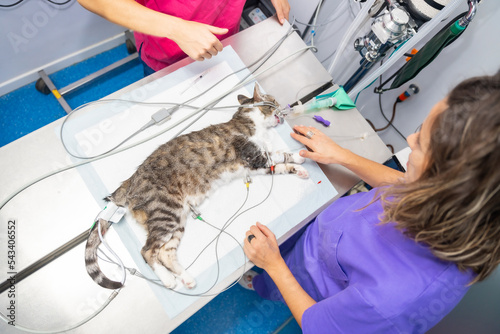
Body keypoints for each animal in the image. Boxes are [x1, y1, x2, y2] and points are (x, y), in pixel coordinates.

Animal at [87, 83, 308, 290]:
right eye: (274, 101)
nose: (281, 106)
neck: (250, 120)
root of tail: (131, 180)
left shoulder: (257, 168)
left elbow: (281, 163)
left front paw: (299, 166)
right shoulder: (255, 156)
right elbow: (279, 155)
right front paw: (299, 156)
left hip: (177, 220)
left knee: (165, 252)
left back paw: (187, 279)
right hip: (166, 212)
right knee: (148, 251)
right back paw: (168, 280)